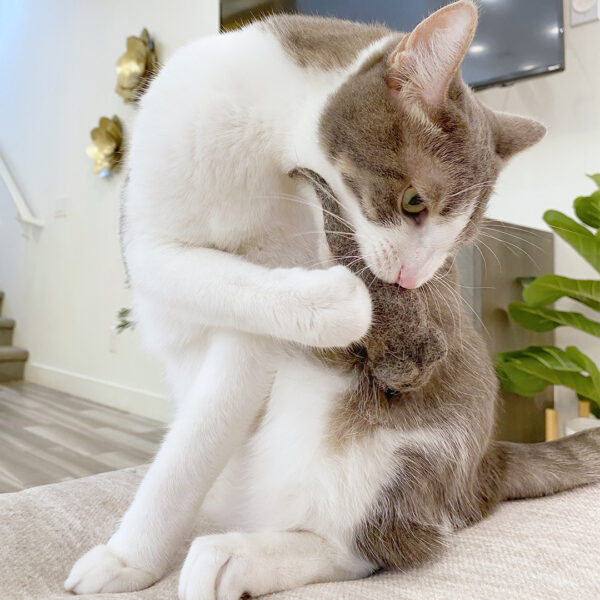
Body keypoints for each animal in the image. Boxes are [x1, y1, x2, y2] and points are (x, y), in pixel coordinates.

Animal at [63, 2, 596, 596]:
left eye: (460, 238)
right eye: (414, 202)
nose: (412, 279)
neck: (258, 141)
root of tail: (488, 460)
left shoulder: (258, 331)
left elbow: (193, 444)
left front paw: (128, 557)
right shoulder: (147, 240)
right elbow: (196, 279)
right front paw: (131, 557)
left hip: (377, 452)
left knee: (380, 541)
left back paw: (234, 557)